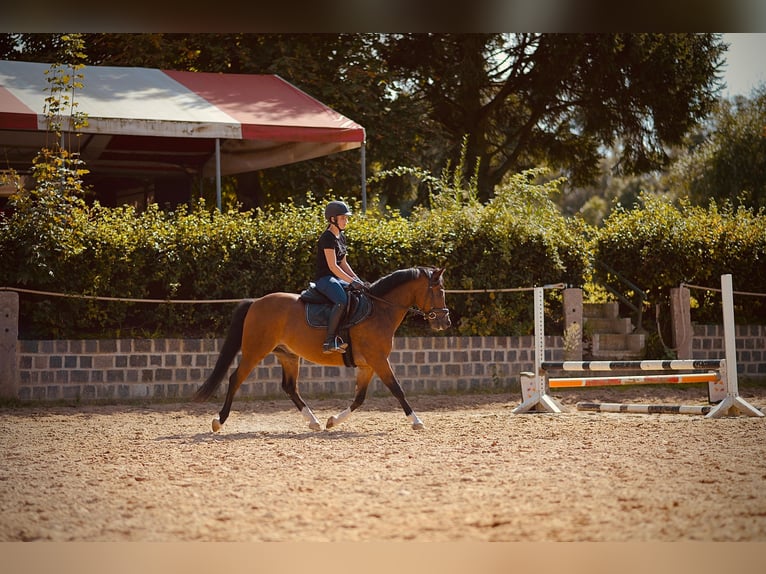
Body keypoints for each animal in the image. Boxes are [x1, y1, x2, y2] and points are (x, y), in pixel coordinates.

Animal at [192, 268, 452, 434]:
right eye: (439, 291)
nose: (445, 322)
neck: (379, 310)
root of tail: (256, 302)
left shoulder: (368, 365)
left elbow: (359, 398)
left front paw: (332, 421)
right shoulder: (379, 360)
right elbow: (398, 390)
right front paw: (417, 421)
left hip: (288, 355)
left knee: (290, 387)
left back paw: (314, 421)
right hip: (255, 351)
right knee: (236, 378)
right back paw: (219, 421)